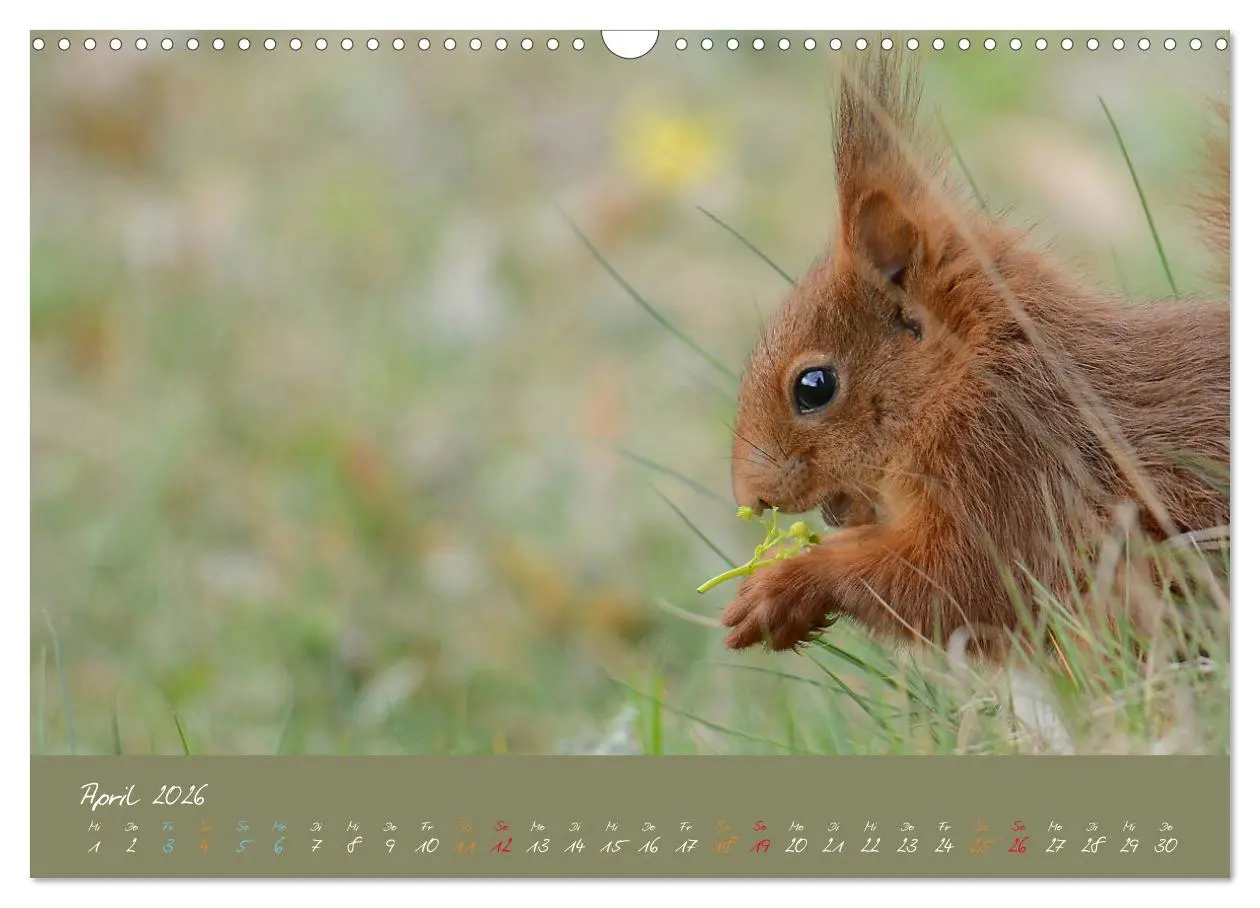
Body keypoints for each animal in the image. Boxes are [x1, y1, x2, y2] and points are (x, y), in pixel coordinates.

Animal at [721, 51, 1230, 657]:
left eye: (813, 386)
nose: (752, 496)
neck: (966, 373)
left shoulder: (1013, 466)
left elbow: (960, 584)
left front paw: (784, 586)